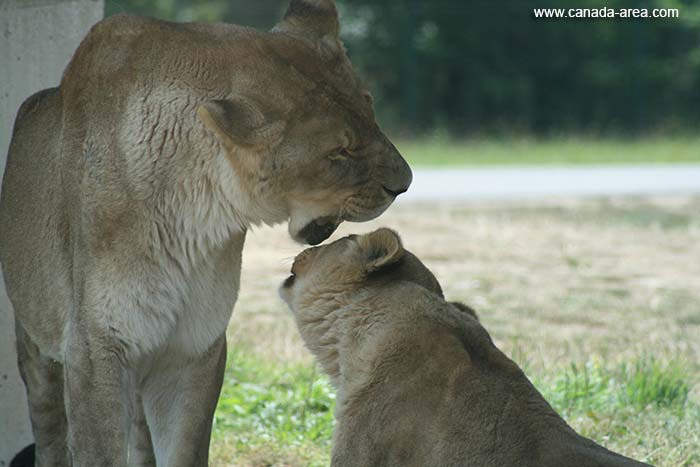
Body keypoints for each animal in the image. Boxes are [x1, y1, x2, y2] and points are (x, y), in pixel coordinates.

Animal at [0, 1, 411, 465]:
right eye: (339, 151)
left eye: (370, 110)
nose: (406, 182)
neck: (194, 214)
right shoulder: (93, 350)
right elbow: (98, 451)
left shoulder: (195, 349)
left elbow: (183, 449)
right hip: (36, 348)